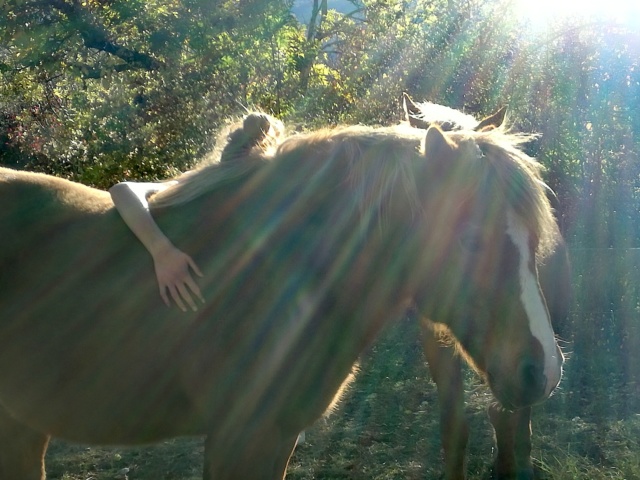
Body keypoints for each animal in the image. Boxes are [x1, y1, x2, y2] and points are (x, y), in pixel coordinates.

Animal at [404, 92, 568, 478]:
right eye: (473, 240)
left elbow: (511, 421)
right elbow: (455, 427)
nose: (545, 373)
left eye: (535, 239)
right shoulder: (436, 338)